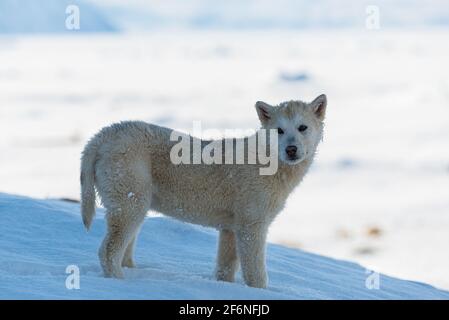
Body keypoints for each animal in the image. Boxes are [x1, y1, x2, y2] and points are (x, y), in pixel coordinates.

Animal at [80, 94, 326, 288]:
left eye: (303, 127)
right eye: (279, 131)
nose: (291, 149)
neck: (267, 163)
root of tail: (102, 136)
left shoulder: (230, 227)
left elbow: (225, 269)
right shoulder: (252, 224)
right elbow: (255, 273)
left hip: (135, 203)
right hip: (130, 200)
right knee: (108, 251)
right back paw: (121, 283)